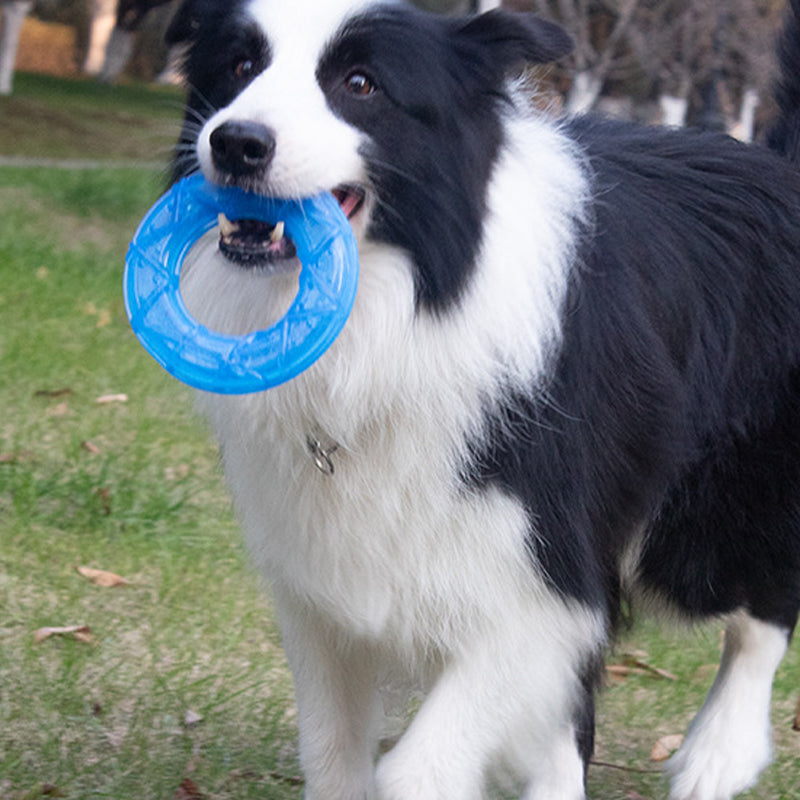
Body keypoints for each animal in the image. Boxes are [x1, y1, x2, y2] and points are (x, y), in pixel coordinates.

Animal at [164, 1, 800, 800]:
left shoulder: (545, 578)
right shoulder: (322, 587)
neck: (402, 311)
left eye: (360, 83)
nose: (236, 142)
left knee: (761, 608)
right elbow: (333, 750)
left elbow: (414, 768)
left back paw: (719, 753)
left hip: (698, 526)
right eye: (239, 66)